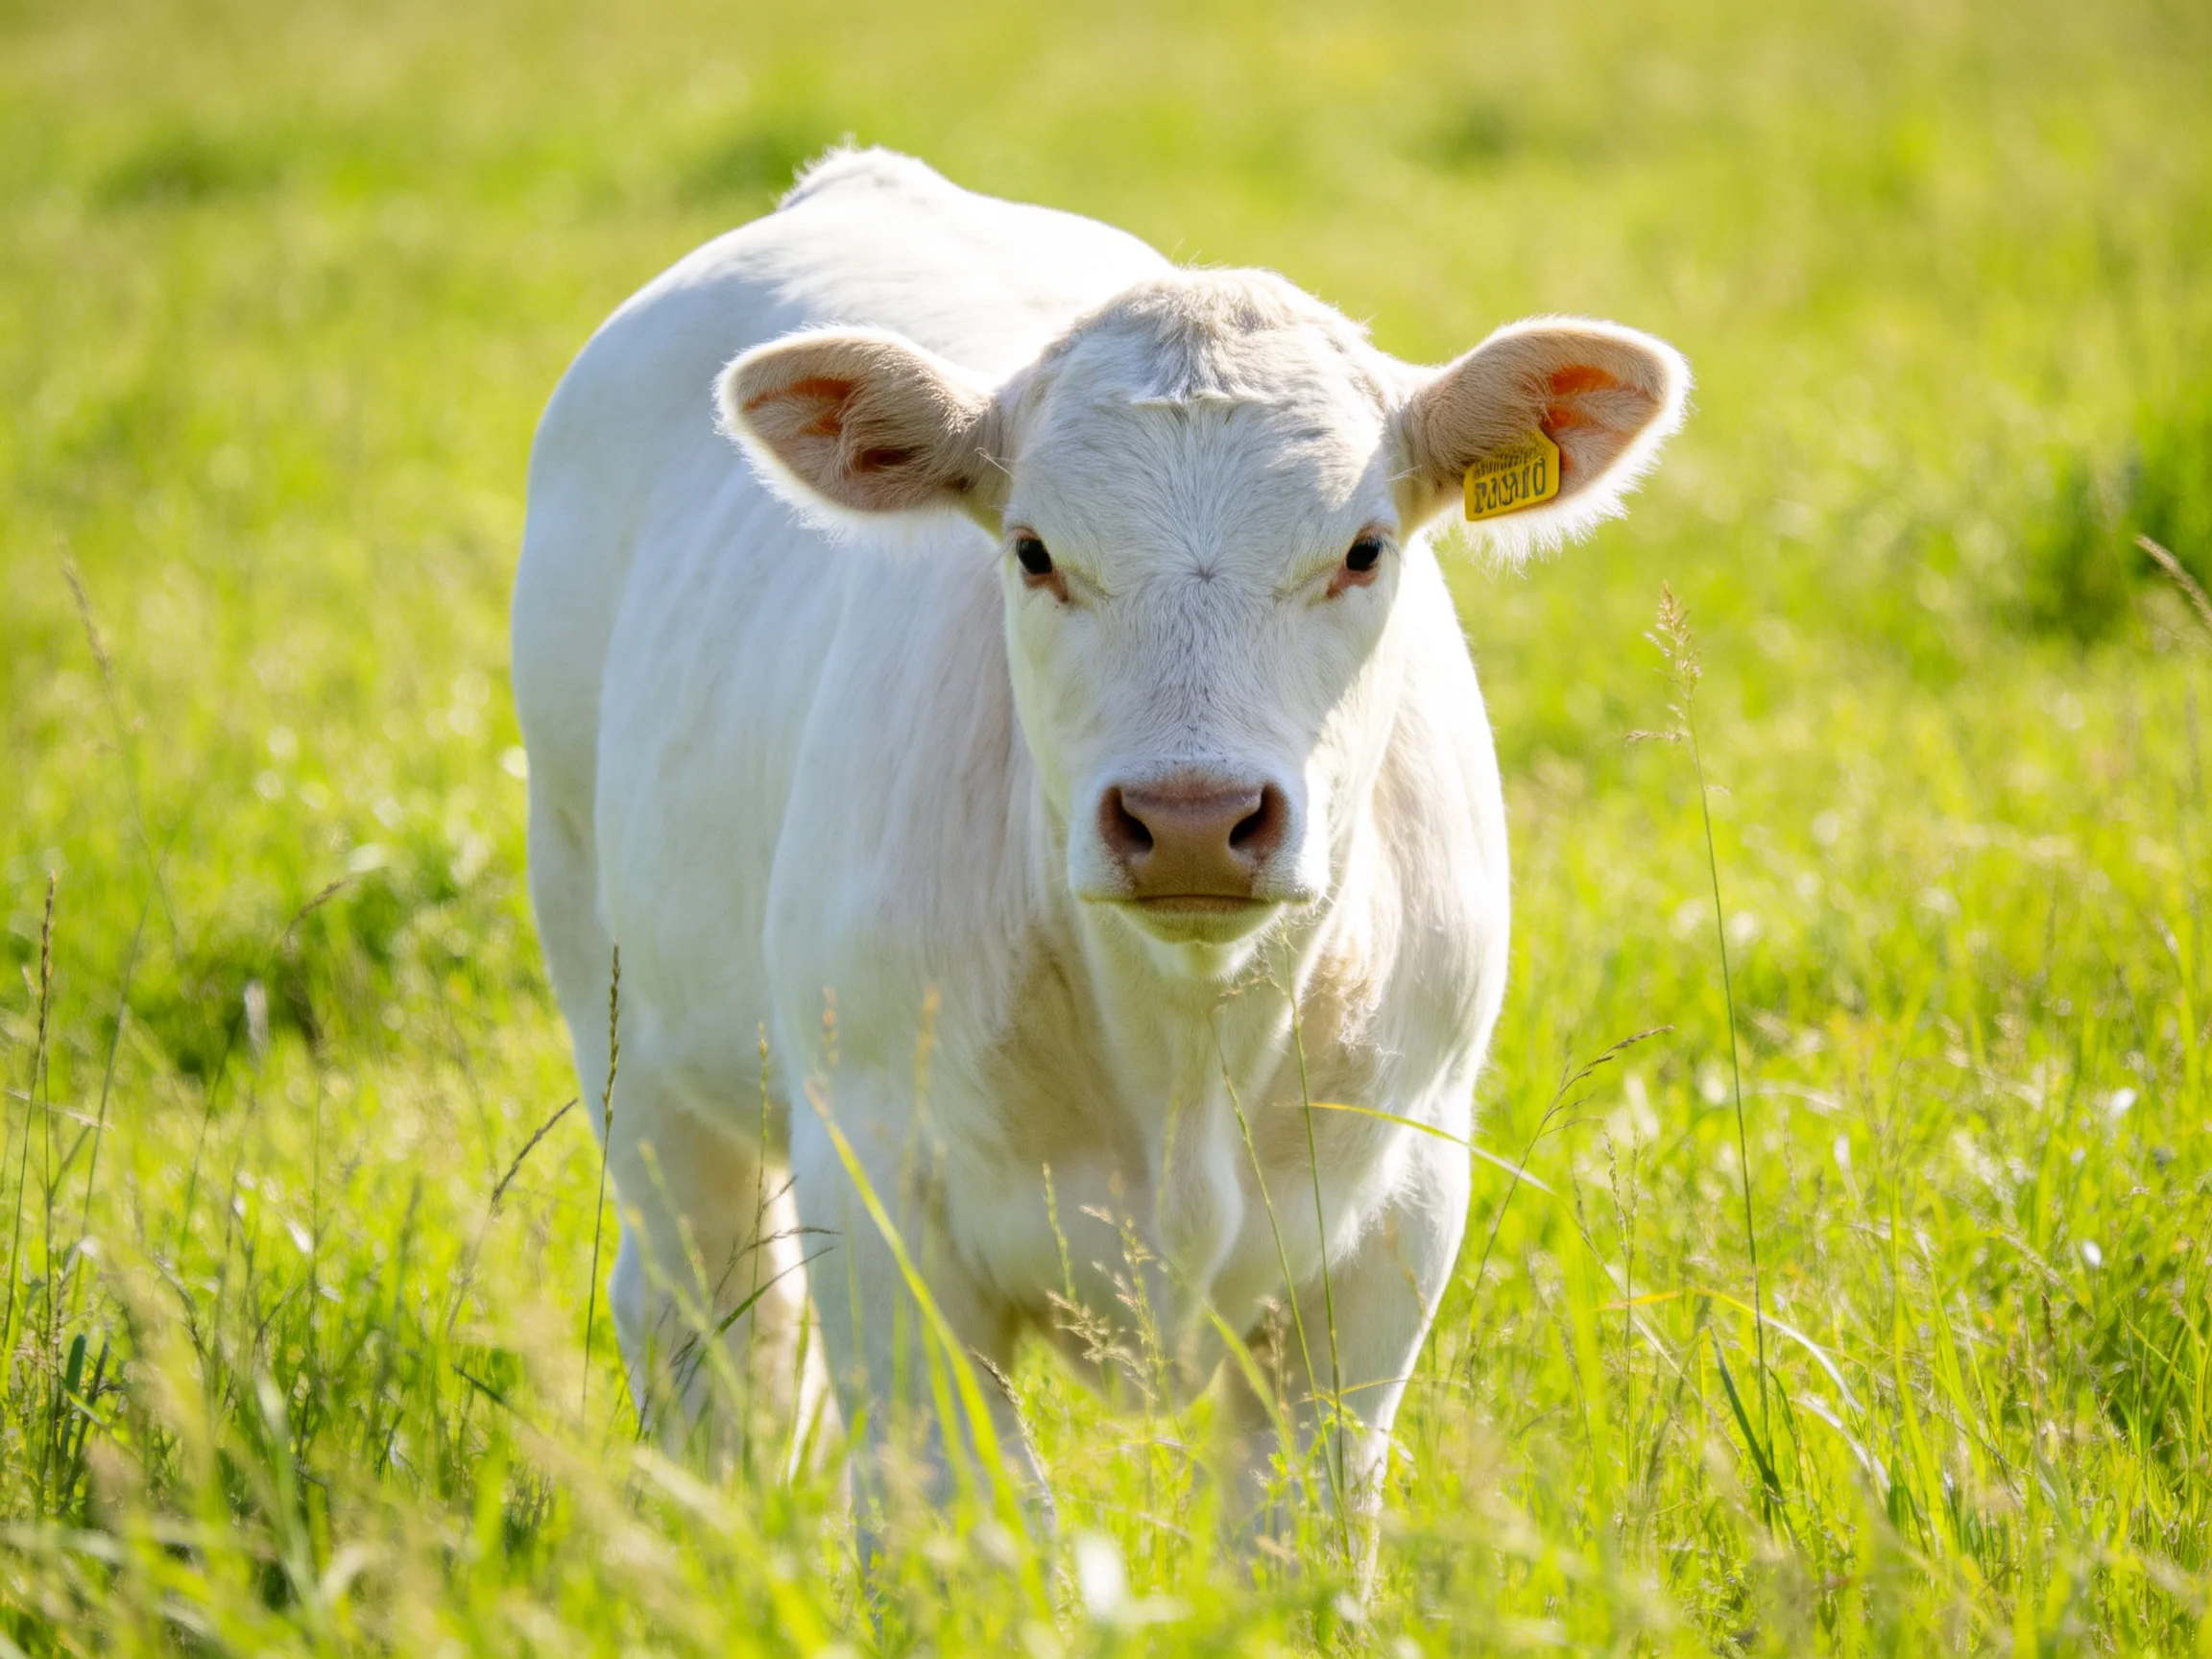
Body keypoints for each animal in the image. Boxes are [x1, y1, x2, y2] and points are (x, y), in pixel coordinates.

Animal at [511, 148, 1687, 1550]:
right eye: (1033, 552)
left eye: (1362, 550)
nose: (1191, 817)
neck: (1181, 1048)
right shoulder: (882, 1190)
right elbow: (961, 1519)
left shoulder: (1398, 1207)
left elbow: (1297, 1529)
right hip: (614, 994)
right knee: (707, 1311)